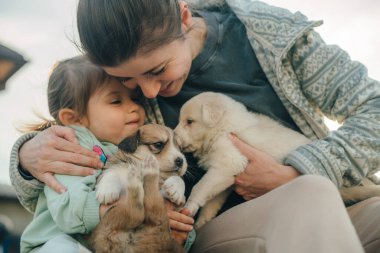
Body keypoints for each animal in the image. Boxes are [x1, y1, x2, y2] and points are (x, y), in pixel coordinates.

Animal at [91, 124, 189, 253]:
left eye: (181, 149)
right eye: (158, 144)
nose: (181, 160)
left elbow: (178, 179)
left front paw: (176, 190)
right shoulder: (117, 166)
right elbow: (112, 171)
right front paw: (107, 190)